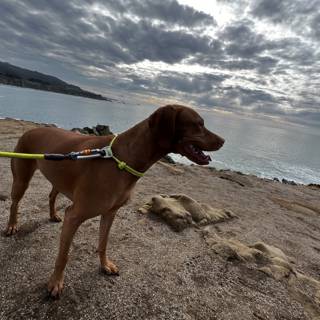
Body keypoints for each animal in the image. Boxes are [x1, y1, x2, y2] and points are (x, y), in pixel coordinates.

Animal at [5, 104, 225, 298]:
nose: (223, 141)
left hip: (58, 176)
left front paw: (105, 265)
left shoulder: (109, 213)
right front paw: (55, 283)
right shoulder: (74, 216)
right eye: (198, 124)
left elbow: (103, 243)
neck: (120, 159)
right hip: (21, 179)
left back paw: (52, 215)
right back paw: (12, 226)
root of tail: (30, 129)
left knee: (51, 196)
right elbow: (63, 256)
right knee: (15, 203)